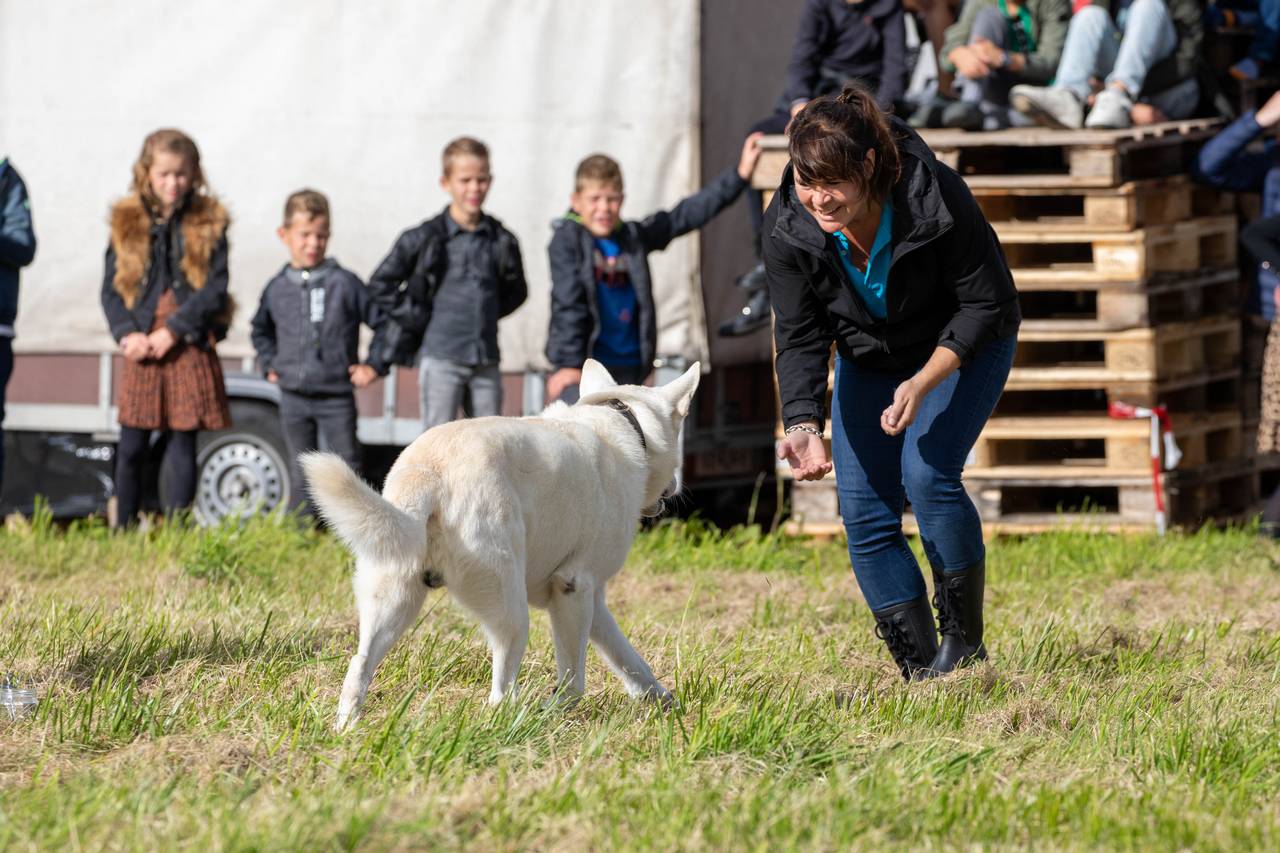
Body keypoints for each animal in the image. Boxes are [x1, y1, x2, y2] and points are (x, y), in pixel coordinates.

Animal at [299, 356, 701, 727]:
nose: (676, 487)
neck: (625, 420)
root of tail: (432, 470)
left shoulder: (592, 601)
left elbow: (629, 660)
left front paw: (665, 702)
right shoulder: (573, 588)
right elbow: (573, 683)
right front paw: (554, 710)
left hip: (394, 596)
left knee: (359, 664)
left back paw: (347, 728)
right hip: (511, 610)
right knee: (500, 692)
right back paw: (516, 722)